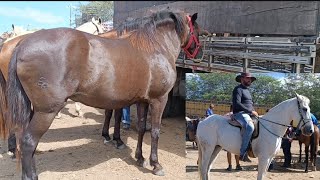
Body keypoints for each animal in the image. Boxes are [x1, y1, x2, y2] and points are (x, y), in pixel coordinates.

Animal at [1, 9, 202, 179]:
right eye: (197, 30)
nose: (198, 52)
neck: (156, 46)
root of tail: (21, 45)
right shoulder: (159, 100)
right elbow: (154, 131)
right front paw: (156, 164)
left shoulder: (143, 101)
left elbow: (141, 128)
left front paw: (139, 158)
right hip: (46, 112)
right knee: (28, 142)